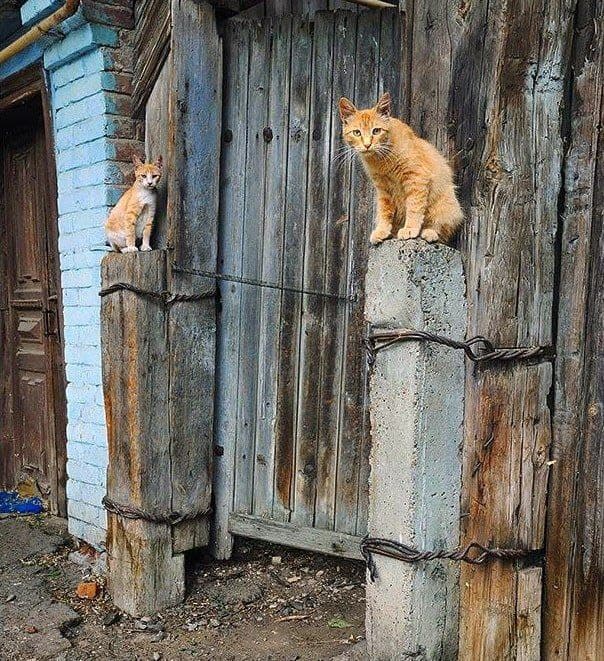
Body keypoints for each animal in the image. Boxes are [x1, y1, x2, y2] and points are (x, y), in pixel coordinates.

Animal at [340, 93, 462, 245]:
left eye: (376, 131)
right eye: (357, 133)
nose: (367, 145)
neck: (381, 159)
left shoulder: (416, 178)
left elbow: (414, 206)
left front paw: (410, 228)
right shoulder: (383, 188)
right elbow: (384, 211)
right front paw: (382, 230)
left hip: (446, 206)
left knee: (442, 230)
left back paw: (429, 232)